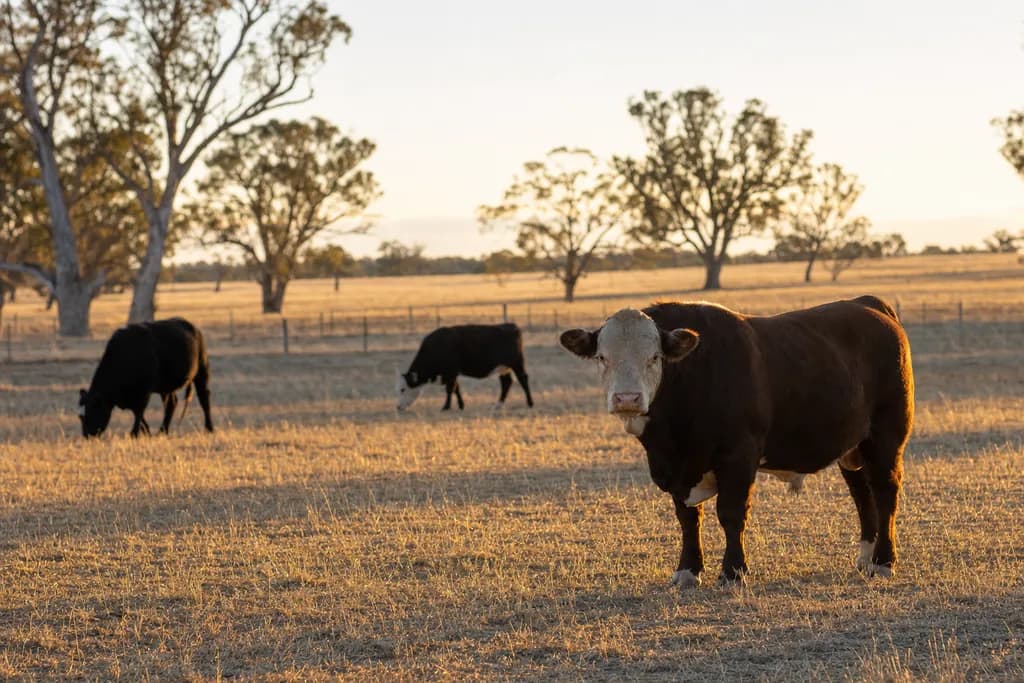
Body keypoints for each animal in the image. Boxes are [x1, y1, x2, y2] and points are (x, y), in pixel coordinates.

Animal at [78, 317, 214, 437]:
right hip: (165, 386)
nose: (87, 435)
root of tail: (193, 328)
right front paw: (147, 432)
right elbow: (138, 413)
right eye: (81, 416)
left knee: (204, 398)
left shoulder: (144, 391)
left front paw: (134, 434)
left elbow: (139, 411)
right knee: (171, 404)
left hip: (202, 371)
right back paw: (162, 431)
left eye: (93, 410)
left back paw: (209, 428)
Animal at [396, 323, 534, 411]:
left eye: (402, 389)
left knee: (523, 380)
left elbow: (450, 389)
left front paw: (446, 407)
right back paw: (498, 405)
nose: (398, 407)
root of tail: (511, 326)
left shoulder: (451, 372)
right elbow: (456, 388)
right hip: (503, 368)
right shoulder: (452, 374)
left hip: (517, 363)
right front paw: (461, 405)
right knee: (506, 383)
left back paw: (530, 403)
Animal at [559, 296, 913, 586]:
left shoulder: (738, 456)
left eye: (655, 357)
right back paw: (865, 558)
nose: (627, 398)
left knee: (885, 492)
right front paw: (687, 570)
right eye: (602, 357)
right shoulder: (677, 469)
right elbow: (687, 519)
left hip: (886, 436)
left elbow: (731, 513)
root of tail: (867, 303)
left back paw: (883, 562)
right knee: (862, 494)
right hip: (852, 448)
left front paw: (733, 572)